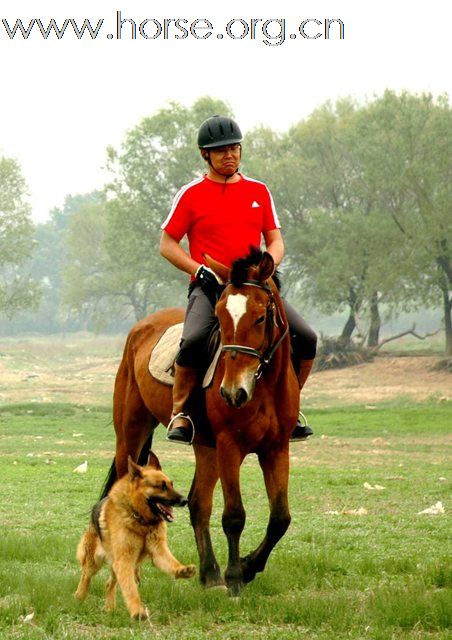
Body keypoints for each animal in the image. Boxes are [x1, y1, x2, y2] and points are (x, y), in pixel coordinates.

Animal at [75, 452, 195, 616]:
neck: (141, 520)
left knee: (109, 583)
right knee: (86, 577)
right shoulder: (124, 560)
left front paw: (182, 570)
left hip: (116, 565)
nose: (185, 500)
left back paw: (109, 607)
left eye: (171, 484)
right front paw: (137, 610)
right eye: (162, 486)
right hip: (95, 561)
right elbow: (130, 589)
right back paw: (79, 598)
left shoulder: (158, 552)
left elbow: (171, 562)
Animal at [102, 249, 300, 596]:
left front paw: (248, 567)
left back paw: (210, 574)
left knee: (198, 503)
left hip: (204, 447)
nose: (232, 392)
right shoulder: (229, 446)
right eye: (220, 316)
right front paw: (235, 578)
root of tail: (139, 328)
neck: (262, 386)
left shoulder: (276, 449)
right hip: (130, 434)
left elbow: (280, 518)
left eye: (260, 317)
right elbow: (234, 516)